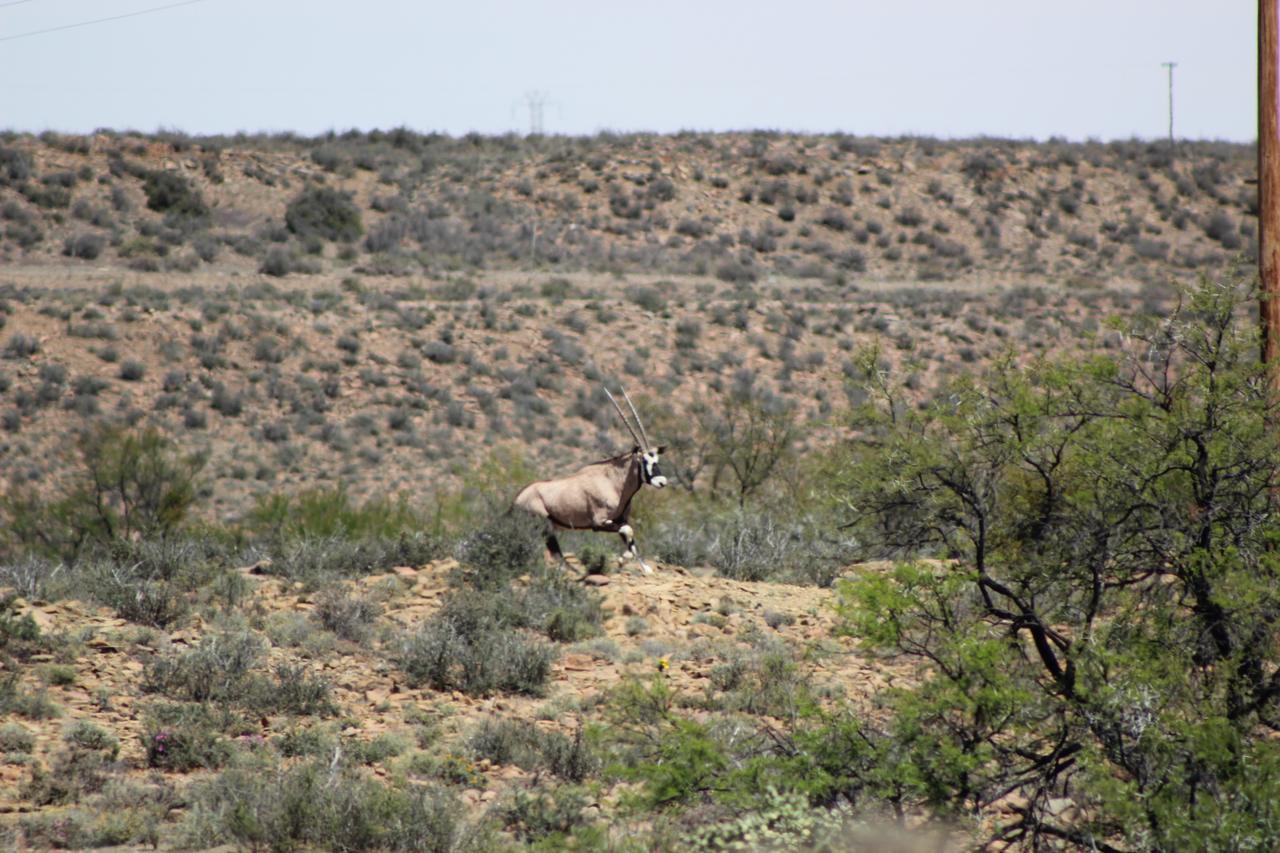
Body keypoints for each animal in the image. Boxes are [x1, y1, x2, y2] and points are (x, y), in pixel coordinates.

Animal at [512, 384, 670, 571]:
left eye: (657, 460)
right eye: (644, 460)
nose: (662, 482)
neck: (614, 483)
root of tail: (518, 497)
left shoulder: (620, 520)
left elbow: (631, 539)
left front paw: (645, 568)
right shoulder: (599, 523)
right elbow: (629, 532)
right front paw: (622, 560)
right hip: (543, 524)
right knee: (554, 551)